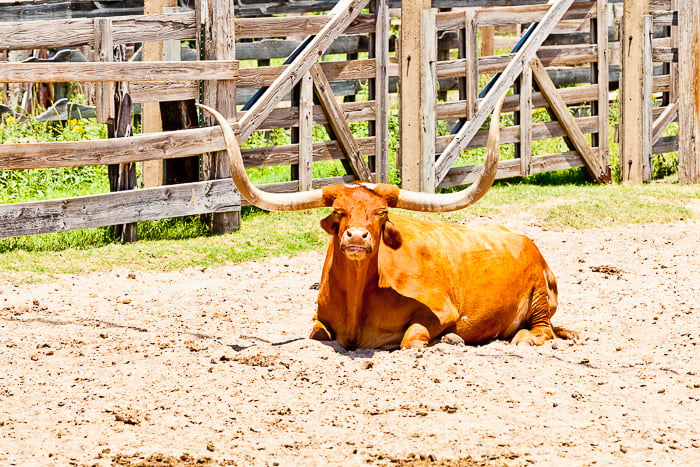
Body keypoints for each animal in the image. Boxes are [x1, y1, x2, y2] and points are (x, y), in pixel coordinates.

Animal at [197, 97, 577, 350]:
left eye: (381, 214)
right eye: (339, 212)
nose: (357, 237)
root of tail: (525, 241)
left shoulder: (438, 314)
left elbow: (414, 339)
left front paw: (450, 338)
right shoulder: (320, 320)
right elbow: (317, 334)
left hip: (540, 298)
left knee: (541, 330)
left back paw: (522, 337)